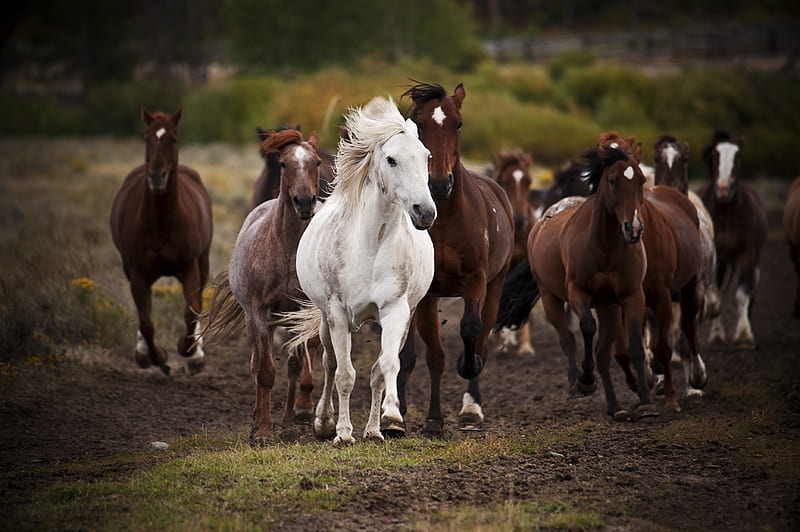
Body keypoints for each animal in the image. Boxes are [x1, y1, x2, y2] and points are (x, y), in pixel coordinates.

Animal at [111, 106, 216, 376]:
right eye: (147, 138)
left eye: (174, 140)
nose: (157, 177)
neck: (160, 224)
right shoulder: (137, 272)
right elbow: (146, 321)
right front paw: (156, 355)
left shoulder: (190, 267)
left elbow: (191, 312)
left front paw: (189, 350)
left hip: (203, 262)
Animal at [203, 128, 322, 440]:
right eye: (283, 163)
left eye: (316, 162)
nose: (305, 202)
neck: (287, 250)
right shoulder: (259, 314)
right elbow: (266, 372)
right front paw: (264, 430)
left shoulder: (301, 312)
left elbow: (297, 362)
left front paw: (295, 416)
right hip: (253, 321)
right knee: (255, 364)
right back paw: (257, 418)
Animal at [280, 95, 434, 444]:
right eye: (391, 160)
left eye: (426, 157)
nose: (425, 212)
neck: (370, 247)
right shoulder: (337, 314)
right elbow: (345, 374)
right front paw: (341, 433)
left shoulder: (395, 311)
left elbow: (385, 366)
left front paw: (389, 419)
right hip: (327, 321)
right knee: (329, 363)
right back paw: (324, 421)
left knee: (376, 368)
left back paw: (375, 430)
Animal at [396, 82, 516, 432]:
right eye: (420, 125)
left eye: (458, 124)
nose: (438, 182)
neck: (447, 220)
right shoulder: (426, 294)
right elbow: (429, 355)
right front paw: (428, 417)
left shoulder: (476, 280)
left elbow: (471, 329)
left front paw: (467, 367)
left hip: (496, 285)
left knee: (484, 333)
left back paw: (471, 404)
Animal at [700, 129, 768, 350]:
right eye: (714, 156)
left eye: (738, 157)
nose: (723, 189)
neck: (727, 213)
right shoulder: (716, 257)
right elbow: (717, 293)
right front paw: (717, 335)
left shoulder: (748, 254)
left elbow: (741, 294)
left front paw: (744, 336)